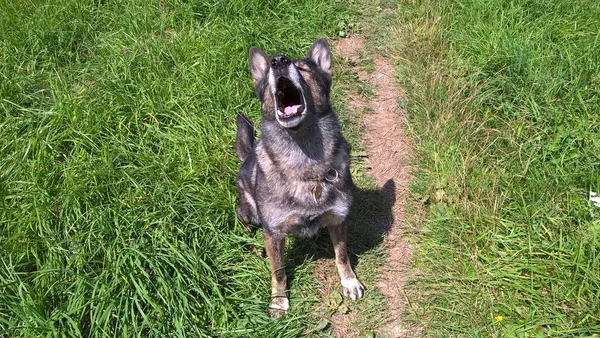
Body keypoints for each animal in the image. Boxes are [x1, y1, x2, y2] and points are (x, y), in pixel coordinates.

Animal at [234, 39, 366, 316]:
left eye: (303, 69)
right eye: (268, 73)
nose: (278, 60)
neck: (303, 161)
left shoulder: (338, 220)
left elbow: (342, 255)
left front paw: (349, 282)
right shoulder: (273, 233)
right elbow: (279, 272)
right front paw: (279, 301)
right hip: (249, 212)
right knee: (243, 216)